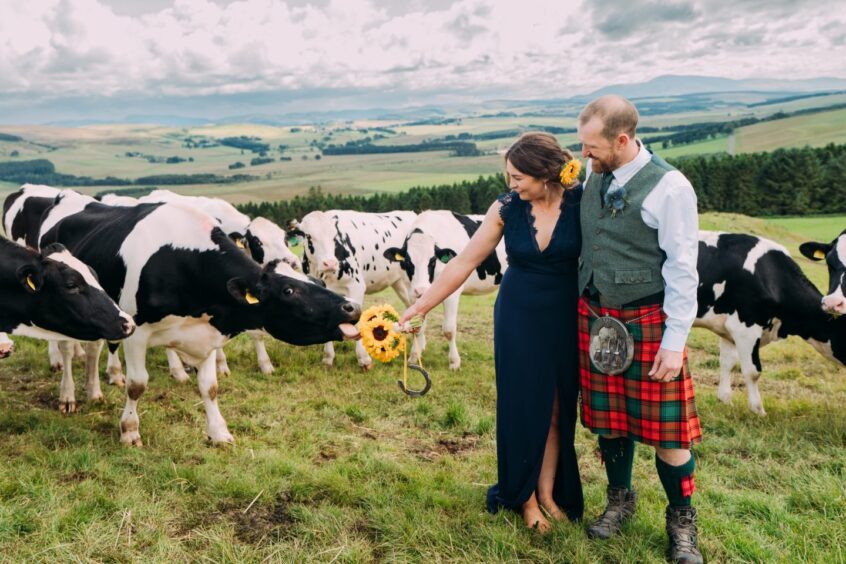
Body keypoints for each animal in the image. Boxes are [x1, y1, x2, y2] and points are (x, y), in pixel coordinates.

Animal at [37, 192, 362, 448]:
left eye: (316, 282)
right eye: (289, 290)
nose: (352, 308)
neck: (184, 260)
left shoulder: (207, 331)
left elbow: (210, 387)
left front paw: (219, 433)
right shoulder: (136, 331)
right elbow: (137, 385)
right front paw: (129, 431)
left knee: (93, 348)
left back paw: (94, 392)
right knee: (67, 350)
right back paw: (68, 396)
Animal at [296, 209, 420, 368]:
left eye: (334, 237)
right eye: (308, 236)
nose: (330, 263)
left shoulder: (356, 286)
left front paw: (364, 360)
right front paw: (328, 358)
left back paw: (416, 354)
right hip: (399, 283)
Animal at [388, 212, 506, 370]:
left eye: (432, 260)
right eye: (407, 262)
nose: (421, 290)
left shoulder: (452, 292)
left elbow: (449, 330)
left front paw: (454, 362)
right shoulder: (412, 293)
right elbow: (418, 327)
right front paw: (414, 357)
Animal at [696, 231, 846, 416]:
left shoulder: (727, 328)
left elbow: (727, 362)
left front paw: (725, 400)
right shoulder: (746, 327)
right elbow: (753, 371)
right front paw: (758, 411)